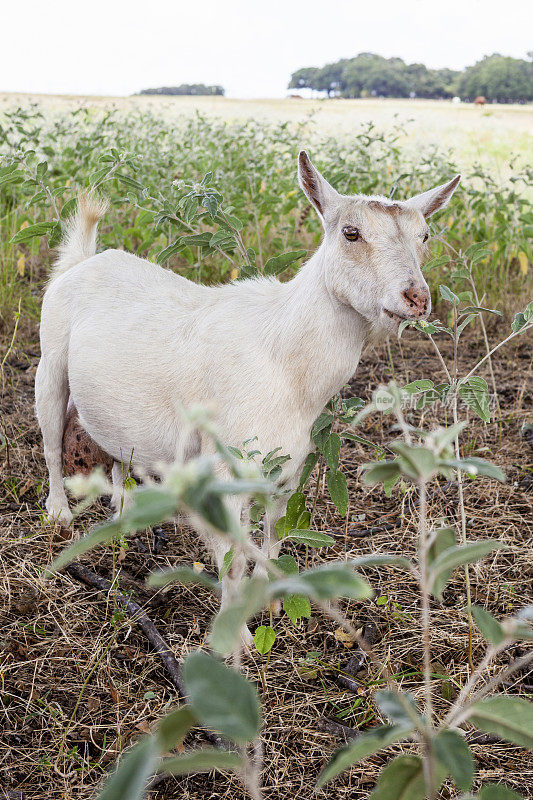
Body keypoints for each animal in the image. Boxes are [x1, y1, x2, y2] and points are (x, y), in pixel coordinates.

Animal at [35, 152, 460, 612]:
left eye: (425, 235)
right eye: (351, 233)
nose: (417, 297)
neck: (284, 360)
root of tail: (82, 260)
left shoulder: (290, 464)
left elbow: (274, 534)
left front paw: (270, 601)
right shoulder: (223, 464)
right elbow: (232, 559)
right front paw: (233, 624)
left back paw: (125, 513)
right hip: (50, 360)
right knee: (52, 442)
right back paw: (59, 513)